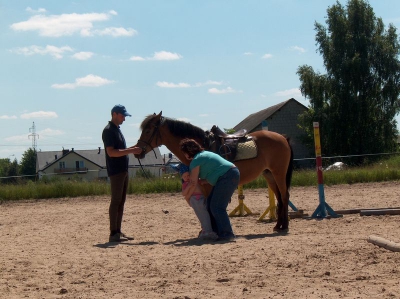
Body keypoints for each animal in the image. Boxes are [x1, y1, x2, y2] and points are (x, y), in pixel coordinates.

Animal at [135, 112, 294, 232]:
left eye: (148, 131)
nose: (137, 152)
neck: (202, 145)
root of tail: (283, 137)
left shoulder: (208, 185)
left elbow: (209, 206)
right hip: (269, 175)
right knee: (280, 198)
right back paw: (278, 225)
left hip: (279, 174)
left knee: (284, 195)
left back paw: (284, 226)